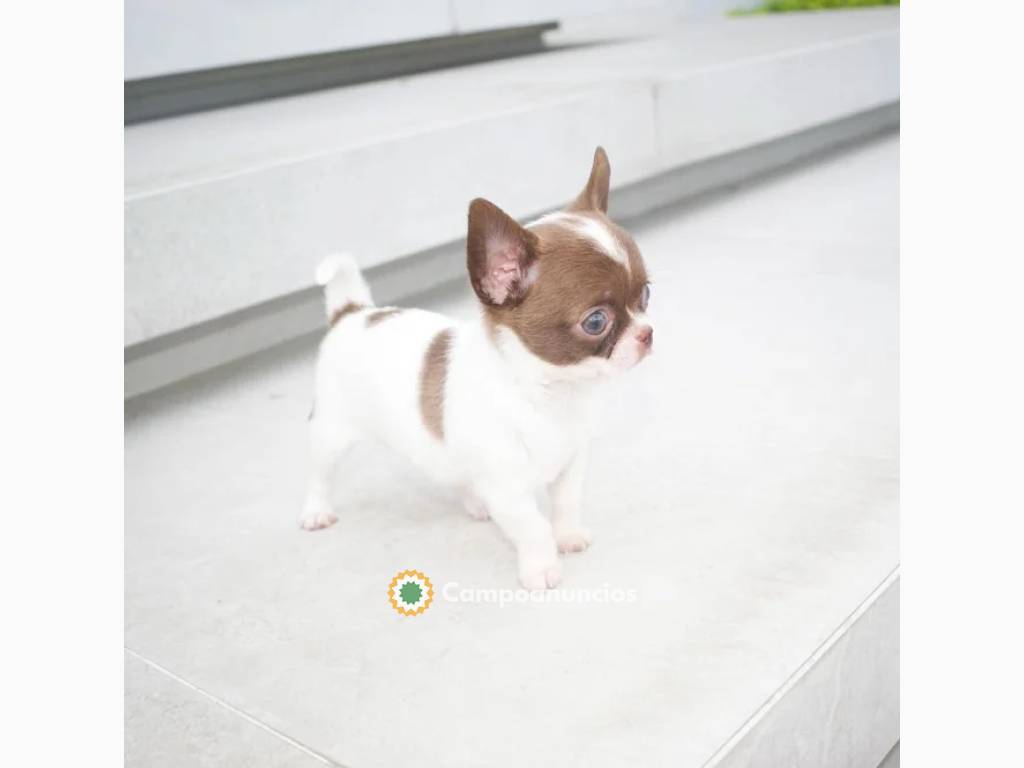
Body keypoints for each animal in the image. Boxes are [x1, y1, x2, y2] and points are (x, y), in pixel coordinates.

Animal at [303, 148, 651, 589]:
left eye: (646, 295)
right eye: (596, 322)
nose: (647, 333)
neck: (549, 392)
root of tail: (353, 312)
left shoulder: (570, 466)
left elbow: (565, 505)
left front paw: (569, 536)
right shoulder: (508, 489)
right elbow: (533, 528)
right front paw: (541, 568)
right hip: (332, 430)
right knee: (318, 473)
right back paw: (315, 511)